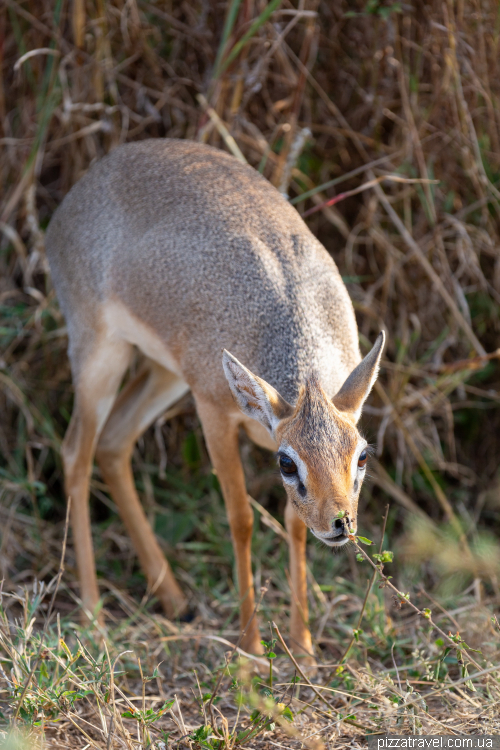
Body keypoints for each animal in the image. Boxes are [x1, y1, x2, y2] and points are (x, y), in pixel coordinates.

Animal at [46, 138, 382, 660]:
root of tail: (79, 192)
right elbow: (241, 520)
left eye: (362, 454)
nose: (340, 524)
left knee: (114, 442)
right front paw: (250, 651)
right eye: (287, 463)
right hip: (99, 353)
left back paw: (175, 599)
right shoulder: (214, 414)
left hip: (165, 372)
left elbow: (293, 523)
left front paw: (304, 651)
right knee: (75, 453)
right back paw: (93, 616)